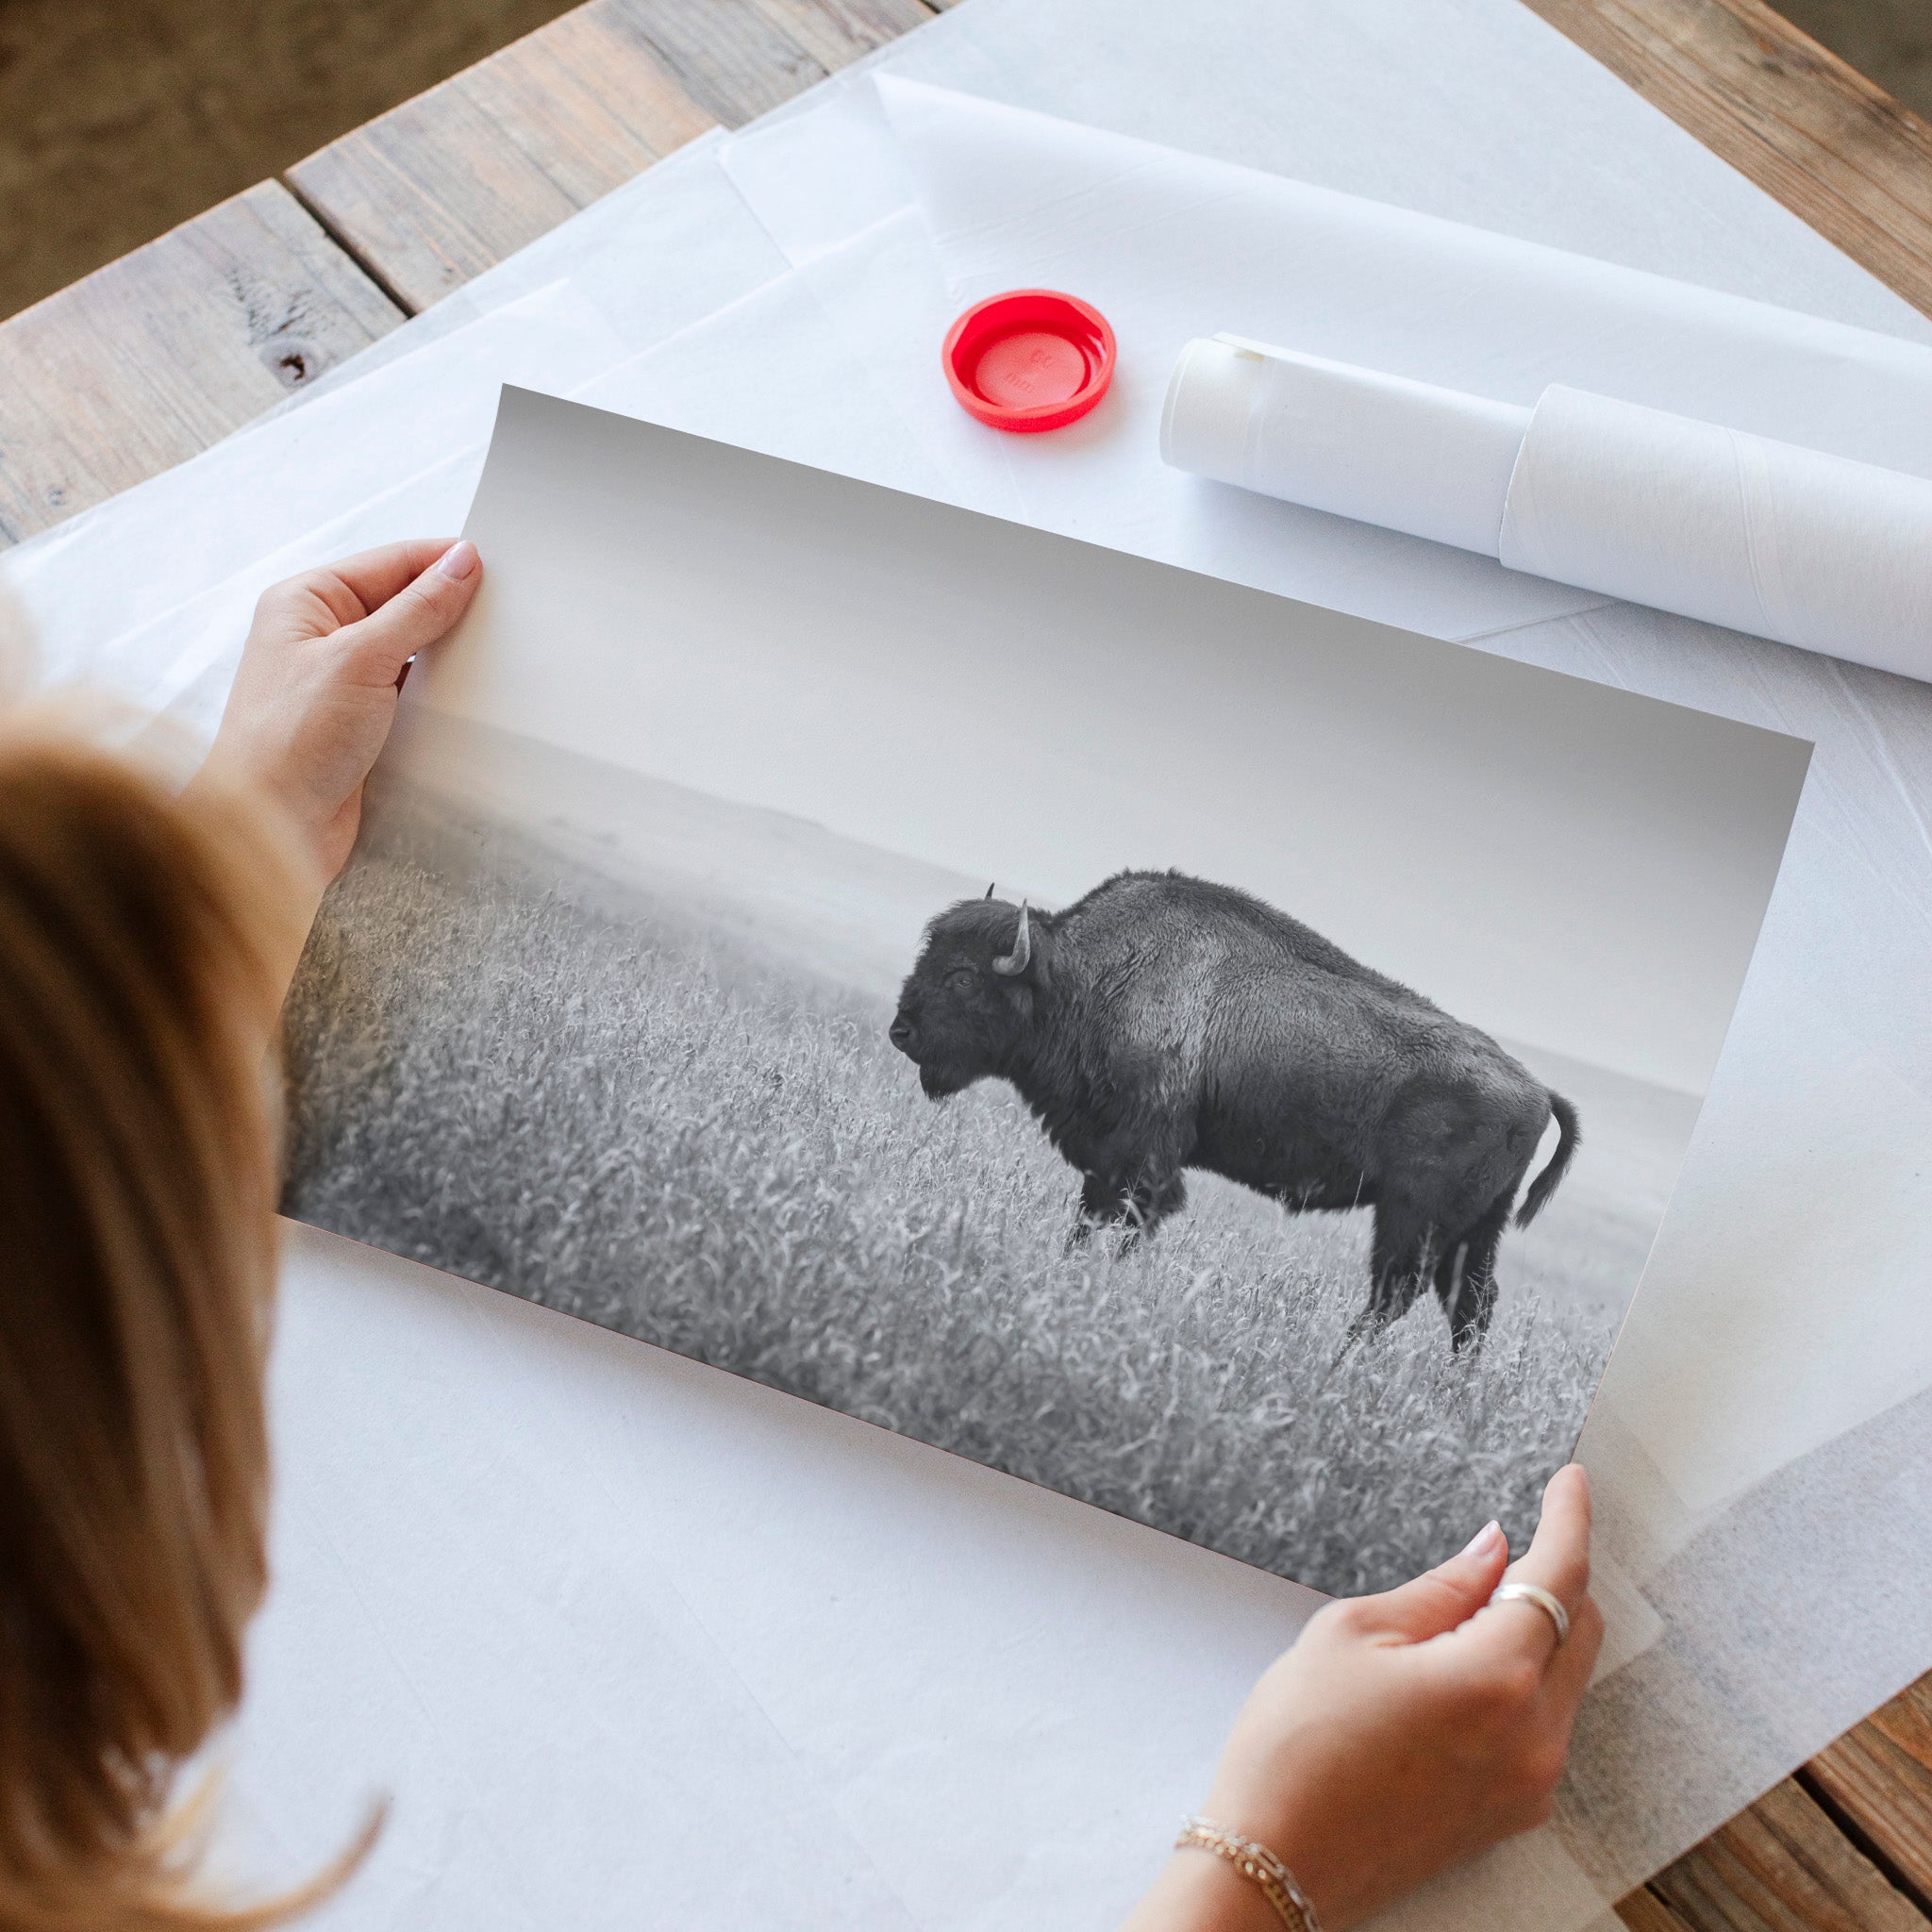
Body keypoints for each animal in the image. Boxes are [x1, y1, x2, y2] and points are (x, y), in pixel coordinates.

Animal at [888, 870, 1578, 1350]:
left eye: (963, 977)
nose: (900, 1031)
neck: (1082, 978)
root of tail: (1537, 1089)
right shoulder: (1108, 1161)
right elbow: (1088, 1221)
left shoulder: (1142, 1160)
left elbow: (1126, 1222)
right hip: (1474, 1230)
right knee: (1470, 1307)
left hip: (1415, 1219)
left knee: (1397, 1295)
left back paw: (1340, 1366)